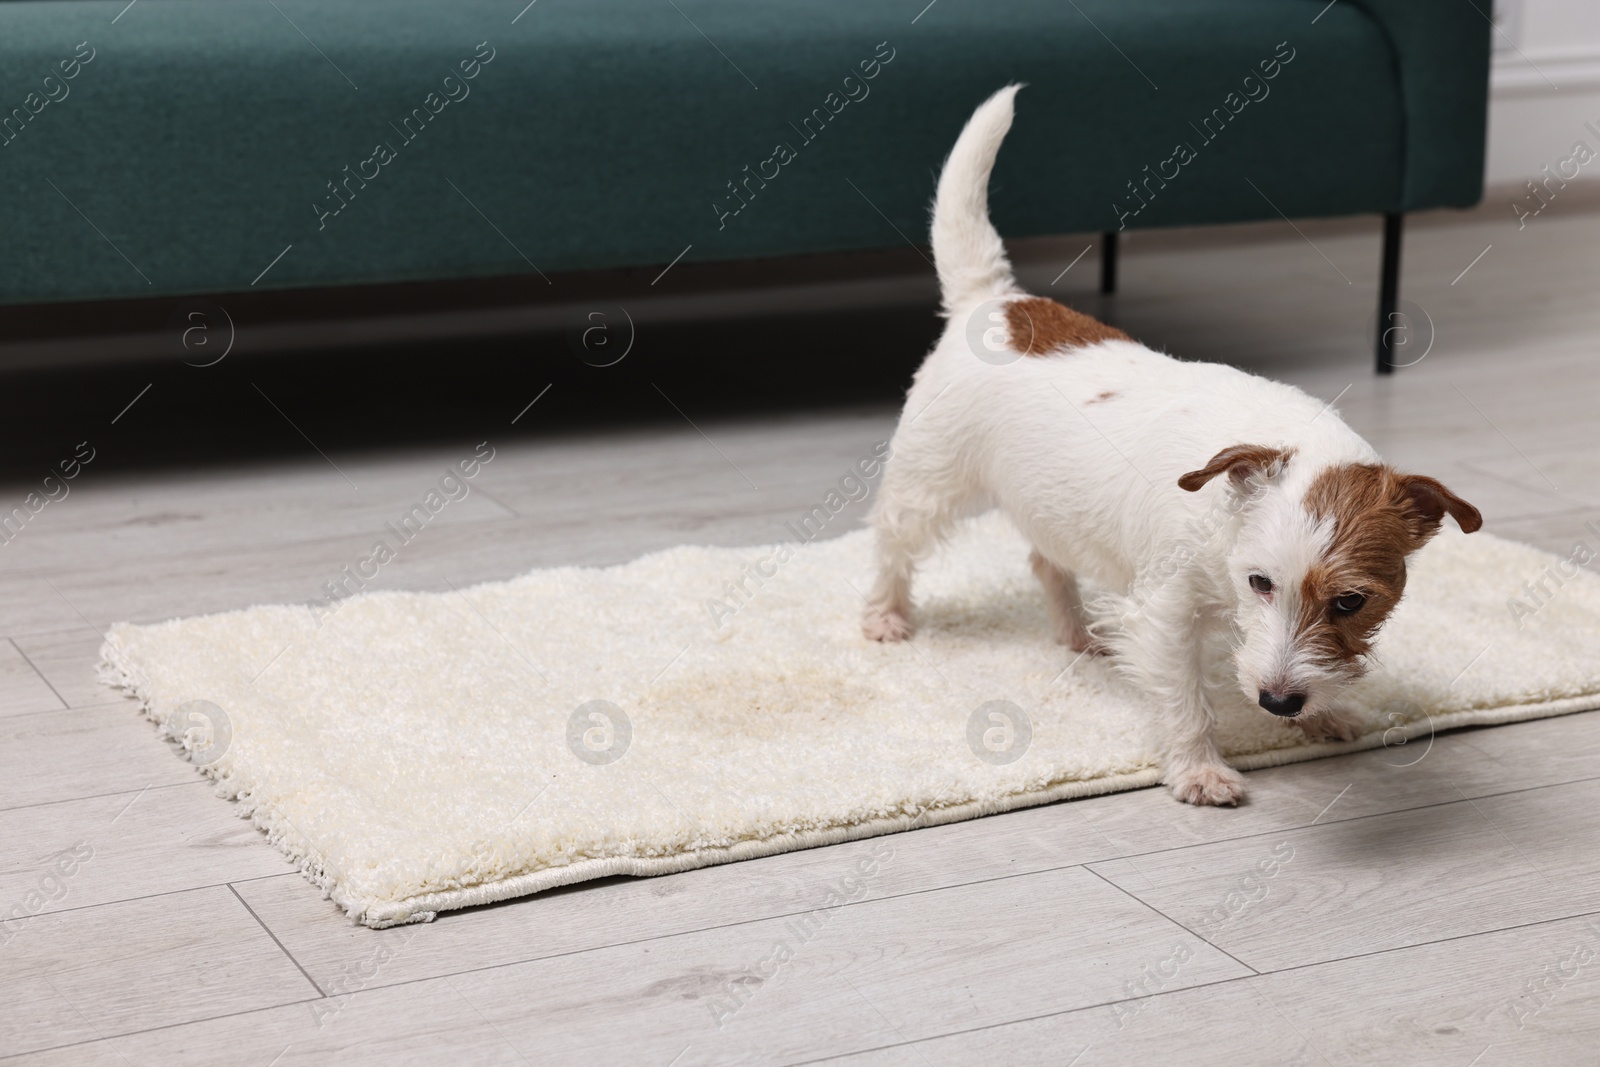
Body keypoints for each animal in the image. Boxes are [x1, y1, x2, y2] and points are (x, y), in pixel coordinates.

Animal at [870, 89, 1478, 809]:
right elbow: (1185, 698)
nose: (1278, 702)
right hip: (929, 483)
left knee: (1047, 560)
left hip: (1053, 504)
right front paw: (1199, 769)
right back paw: (885, 616)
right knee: (893, 541)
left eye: (1352, 602)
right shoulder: (1163, 615)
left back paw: (1078, 631)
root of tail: (995, 300)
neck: (1226, 525)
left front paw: (1322, 714)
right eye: (1260, 582)